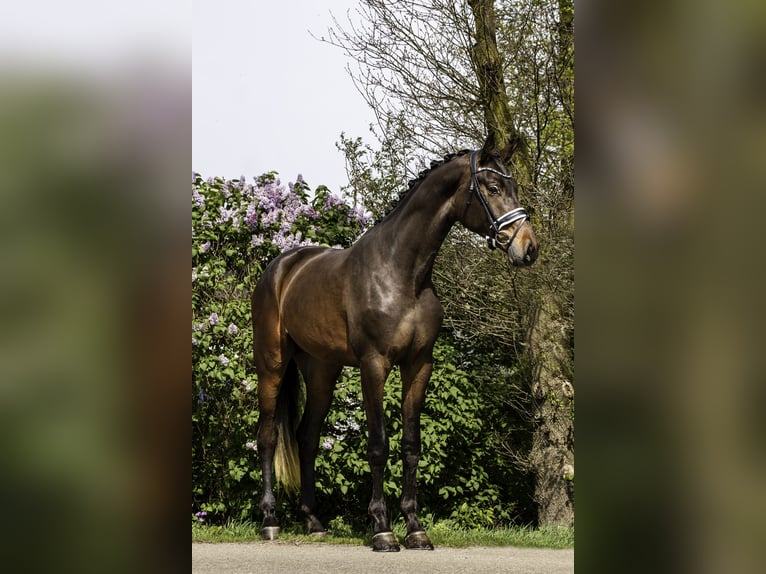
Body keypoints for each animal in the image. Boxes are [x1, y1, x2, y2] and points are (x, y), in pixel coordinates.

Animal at [254, 146, 540, 552]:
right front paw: (382, 529)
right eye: (494, 187)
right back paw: (270, 520)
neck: (402, 273)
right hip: (271, 364)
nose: (528, 247)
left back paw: (314, 521)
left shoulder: (418, 365)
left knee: (307, 437)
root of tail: (281, 268)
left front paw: (416, 529)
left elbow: (410, 445)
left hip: (322, 371)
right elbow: (379, 445)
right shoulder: (374, 364)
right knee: (267, 437)